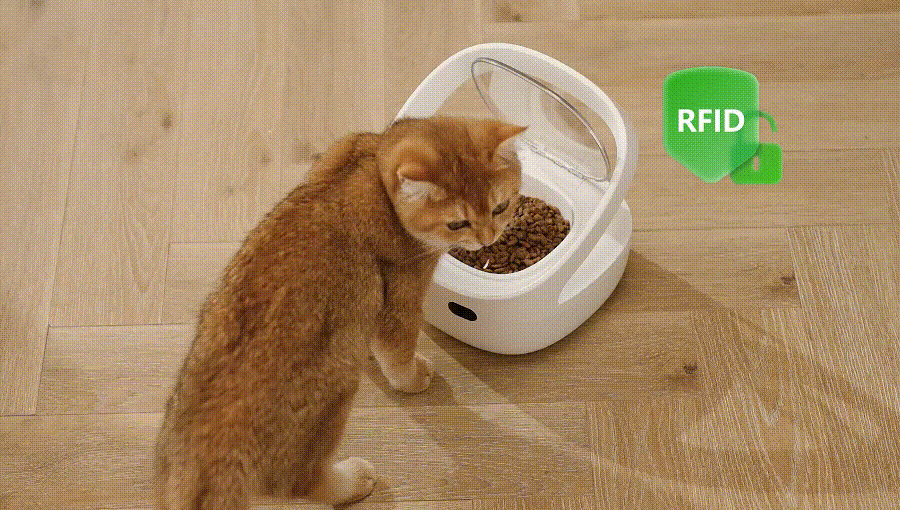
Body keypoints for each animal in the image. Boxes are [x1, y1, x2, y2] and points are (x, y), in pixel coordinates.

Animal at [152, 115, 526, 509]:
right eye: (456, 224)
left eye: (500, 207)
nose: (487, 237)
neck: (373, 167)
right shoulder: (401, 297)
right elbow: (399, 354)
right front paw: (412, 378)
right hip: (332, 398)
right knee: (303, 484)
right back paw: (352, 481)